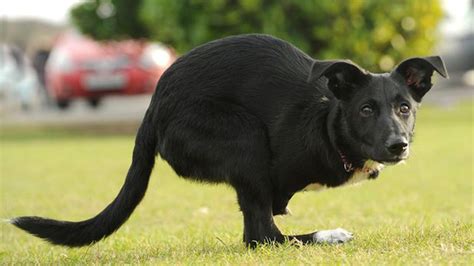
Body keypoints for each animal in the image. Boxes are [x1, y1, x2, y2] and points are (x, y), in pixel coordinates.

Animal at [12, 34, 448, 248]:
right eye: (366, 109)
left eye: (404, 107)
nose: (398, 145)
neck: (327, 122)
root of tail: (154, 106)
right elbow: (264, 225)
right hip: (244, 138)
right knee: (261, 237)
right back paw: (329, 235)